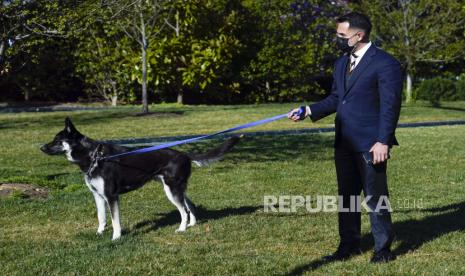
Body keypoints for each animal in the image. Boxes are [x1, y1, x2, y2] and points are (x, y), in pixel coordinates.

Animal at [40, 117, 239, 240]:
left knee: (183, 210)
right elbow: (101, 217)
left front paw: (116, 238)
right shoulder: (97, 196)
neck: (94, 156)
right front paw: (99, 234)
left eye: (57, 140)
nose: (41, 148)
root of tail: (184, 154)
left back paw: (182, 229)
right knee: (190, 206)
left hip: (172, 190)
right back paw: (192, 225)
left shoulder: (111, 196)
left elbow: (115, 221)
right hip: (176, 188)